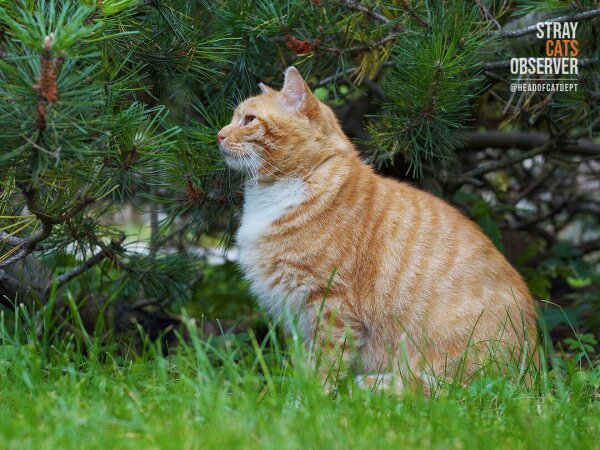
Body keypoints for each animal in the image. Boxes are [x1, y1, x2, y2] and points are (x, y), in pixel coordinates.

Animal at [218, 67, 536, 394]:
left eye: (249, 120)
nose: (219, 135)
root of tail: (533, 373)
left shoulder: (330, 303)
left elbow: (325, 362)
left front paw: (312, 397)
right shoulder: (297, 318)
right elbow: (304, 363)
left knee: (435, 388)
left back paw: (369, 386)